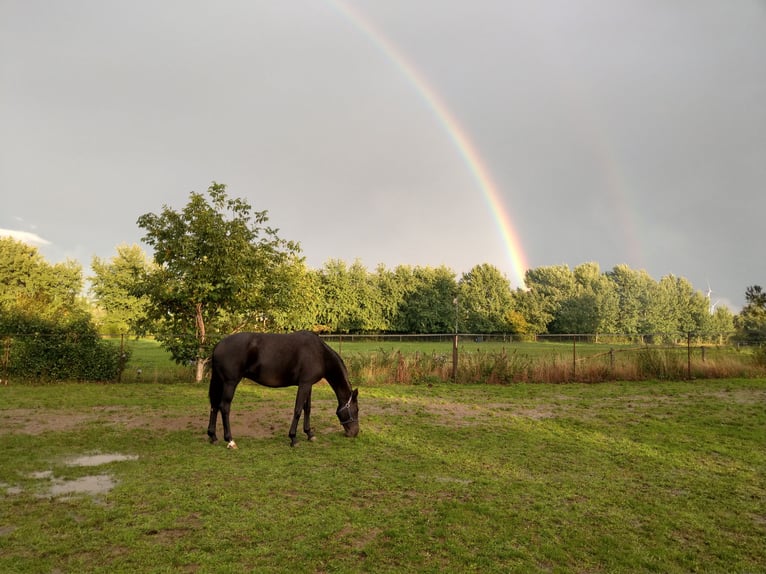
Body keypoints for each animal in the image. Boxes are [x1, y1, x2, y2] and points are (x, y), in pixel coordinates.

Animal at [207, 331, 359, 448]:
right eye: (356, 410)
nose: (355, 433)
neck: (320, 354)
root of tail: (218, 345)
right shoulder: (304, 384)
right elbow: (298, 410)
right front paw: (293, 438)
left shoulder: (308, 384)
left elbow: (307, 409)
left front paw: (309, 434)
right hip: (230, 383)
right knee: (224, 407)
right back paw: (230, 440)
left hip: (221, 382)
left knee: (214, 406)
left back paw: (213, 437)